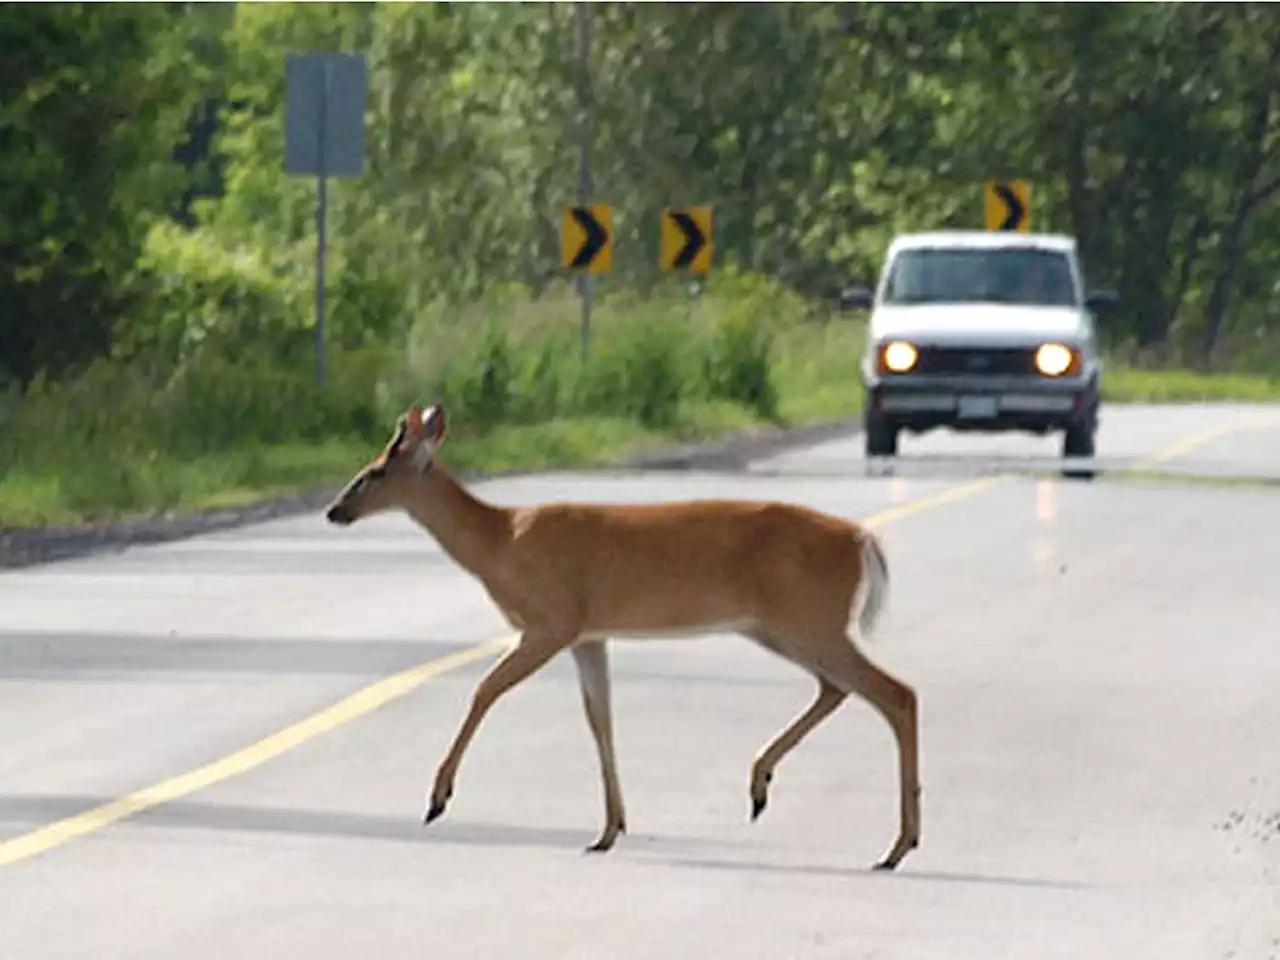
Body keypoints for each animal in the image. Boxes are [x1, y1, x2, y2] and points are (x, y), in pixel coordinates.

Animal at [320, 407, 921, 870]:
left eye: (375, 471)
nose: (334, 510)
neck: (501, 542)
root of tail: (862, 539)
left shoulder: (551, 620)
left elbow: (486, 690)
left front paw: (437, 798)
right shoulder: (589, 634)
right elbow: (600, 718)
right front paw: (609, 830)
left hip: (809, 620)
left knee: (896, 693)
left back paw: (896, 846)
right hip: (782, 627)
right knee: (841, 689)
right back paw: (764, 787)